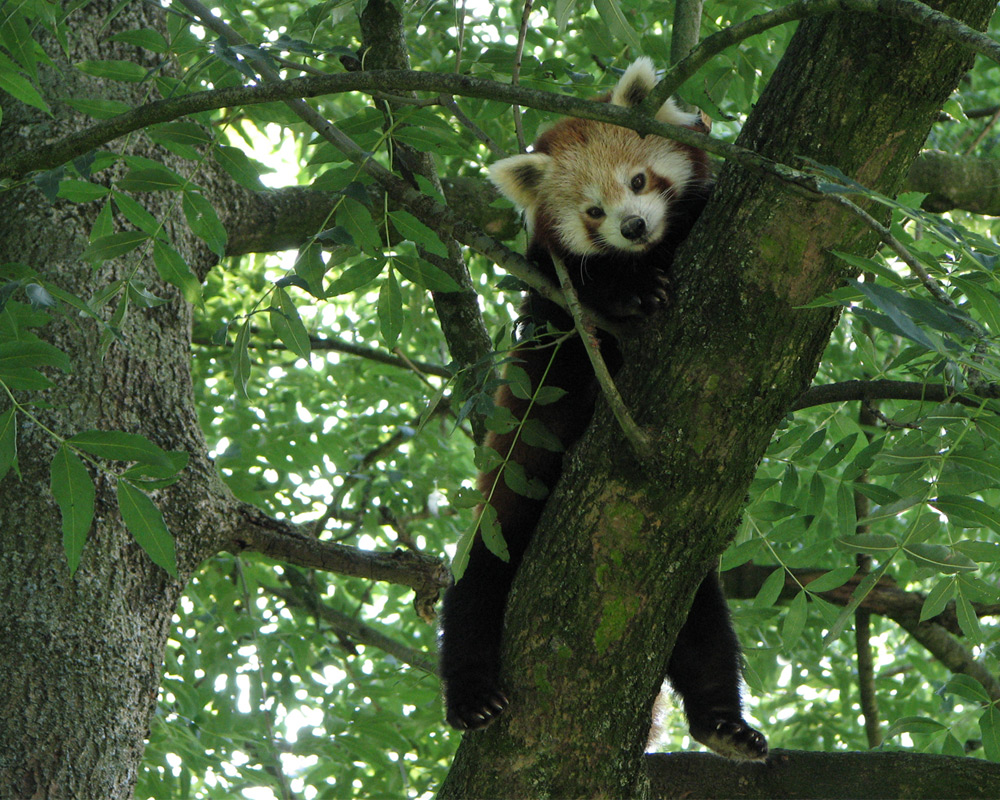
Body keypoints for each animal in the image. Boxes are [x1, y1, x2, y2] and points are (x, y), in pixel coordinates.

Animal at [438, 59, 764, 760]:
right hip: (504, 517)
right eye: (592, 211)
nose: (633, 226)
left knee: (705, 634)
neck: (654, 253)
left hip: (683, 582)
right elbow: (578, 306)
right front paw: (631, 292)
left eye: (638, 180)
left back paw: (722, 724)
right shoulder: (551, 296)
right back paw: (472, 697)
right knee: (472, 594)